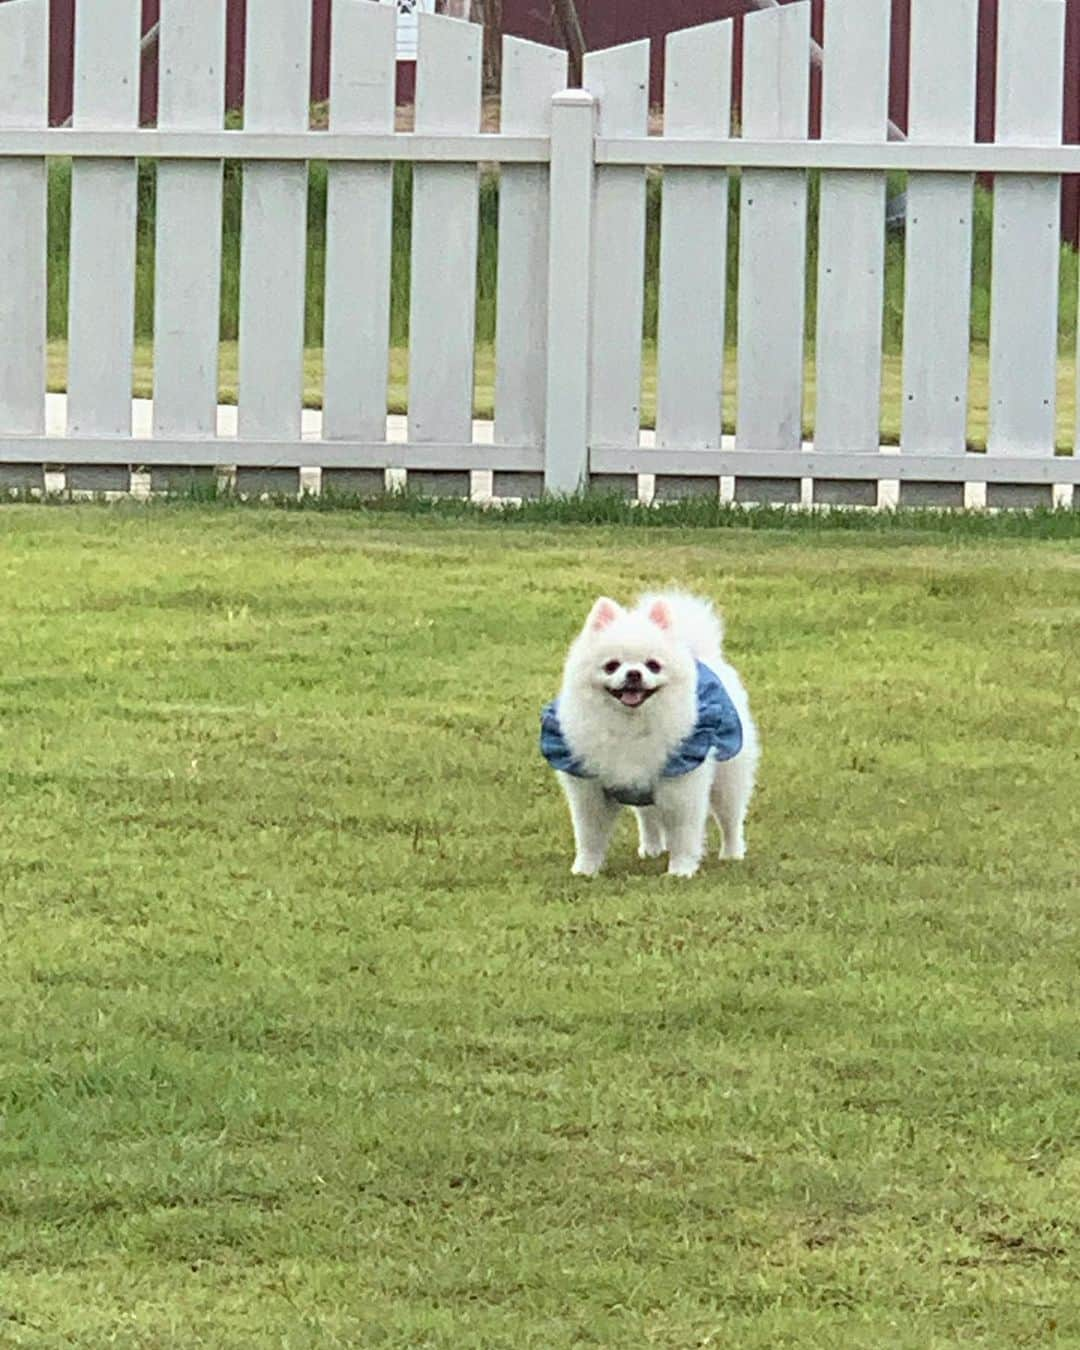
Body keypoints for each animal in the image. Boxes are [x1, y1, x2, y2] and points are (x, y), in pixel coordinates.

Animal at [540, 591, 761, 874]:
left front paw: (681, 870)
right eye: (611, 666)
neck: (630, 725)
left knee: (730, 818)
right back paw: (652, 848)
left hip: (727, 776)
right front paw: (585, 870)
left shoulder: (682, 785)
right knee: (649, 817)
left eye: (653, 665)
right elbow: (589, 835)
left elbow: (683, 833)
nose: (634, 673)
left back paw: (732, 854)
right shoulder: (590, 790)